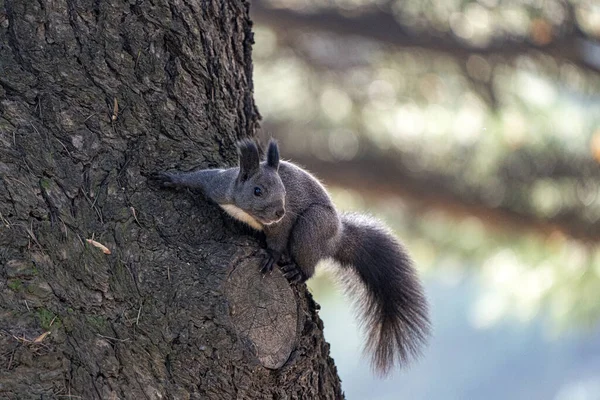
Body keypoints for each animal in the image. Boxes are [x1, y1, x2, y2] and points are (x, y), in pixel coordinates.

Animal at [152, 138, 428, 376]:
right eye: (257, 190)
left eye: (285, 191)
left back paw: (298, 271)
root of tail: (337, 236)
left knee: (308, 262)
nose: (280, 211)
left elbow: (278, 241)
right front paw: (171, 179)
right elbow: (199, 177)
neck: (246, 211)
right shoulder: (219, 186)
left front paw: (271, 256)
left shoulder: (281, 225)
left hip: (312, 227)